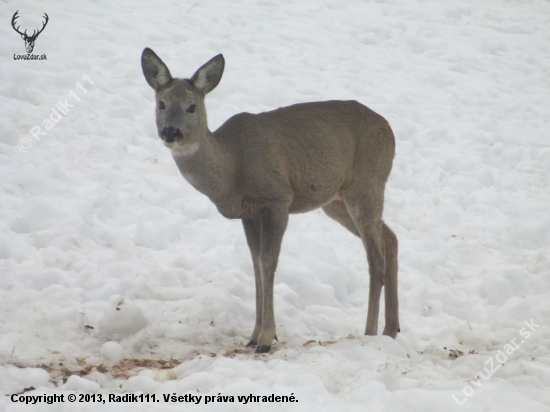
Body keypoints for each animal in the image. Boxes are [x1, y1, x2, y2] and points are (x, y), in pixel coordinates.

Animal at [142, 46, 402, 352]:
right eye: (161, 103)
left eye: (191, 106)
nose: (170, 131)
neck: (232, 166)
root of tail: (390, 131)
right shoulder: (249, 213)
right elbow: (254, 263)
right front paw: (253, 334)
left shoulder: (277, 198)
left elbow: (268, 261)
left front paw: (267, 338)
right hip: (336, 201)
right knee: (390, 239)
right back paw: (391, 329)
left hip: (366, 184)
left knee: (375, 256)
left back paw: (370, 332)